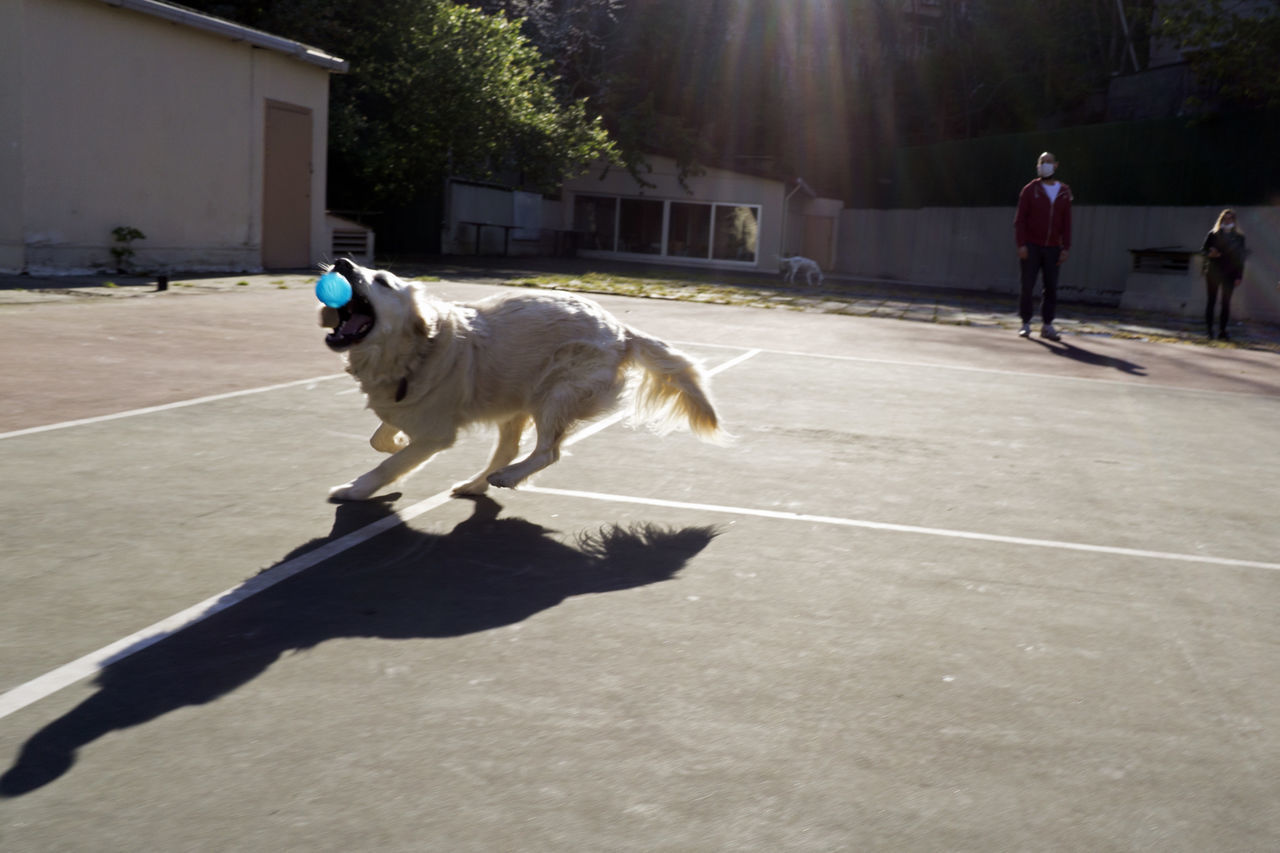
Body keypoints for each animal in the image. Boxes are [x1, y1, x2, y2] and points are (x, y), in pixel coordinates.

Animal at [316, 257, 727, 499]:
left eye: (383, 281)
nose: (342, 262)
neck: (413, 351)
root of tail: (621, 330)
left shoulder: (436, 434)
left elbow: (389, 464)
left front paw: (355, 488)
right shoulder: (402, 407)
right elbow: (380, 438)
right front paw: (395, 442)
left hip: (556, 395)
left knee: (547, 451)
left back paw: (506, 478)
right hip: (515, 403)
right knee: (509, 450)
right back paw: (476, 483)